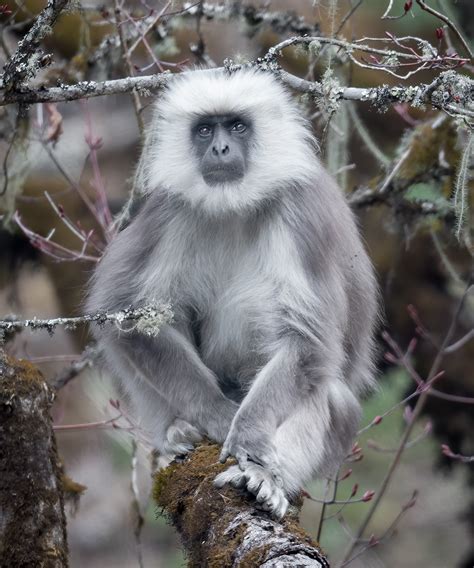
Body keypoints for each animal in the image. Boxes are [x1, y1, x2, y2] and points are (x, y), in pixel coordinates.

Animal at [87, 67, 378, 520]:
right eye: (206, 129)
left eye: (238, 126)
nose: (220, 148)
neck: (236, 206)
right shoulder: (171, 209)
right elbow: (123, 314)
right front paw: (219, 417)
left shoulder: (302, 211)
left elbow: (308, 343)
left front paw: (246, 438)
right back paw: (179, 431)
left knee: (326, 389)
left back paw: (263, 480)